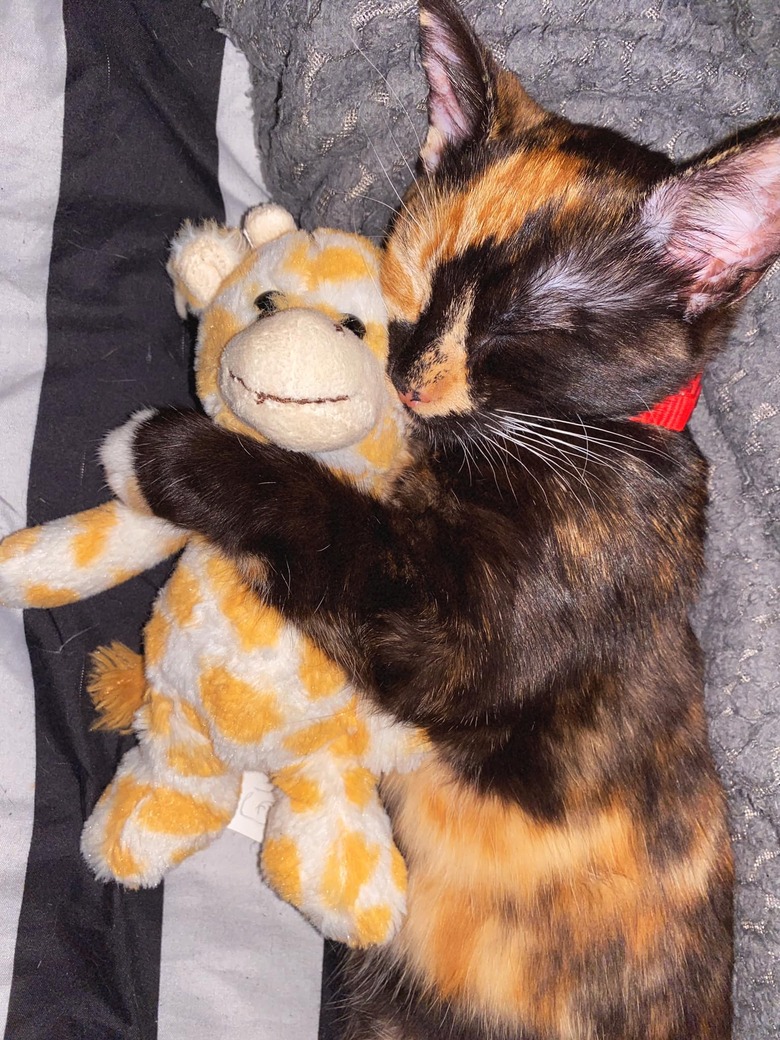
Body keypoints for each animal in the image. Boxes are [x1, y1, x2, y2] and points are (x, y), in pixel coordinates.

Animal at [107, 2, 777, 1040]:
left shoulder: (469, 639)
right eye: (412, 282)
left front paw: (178, 452)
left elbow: (340, 530)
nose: (410, 382)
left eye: (521, 329)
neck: (593, 443)